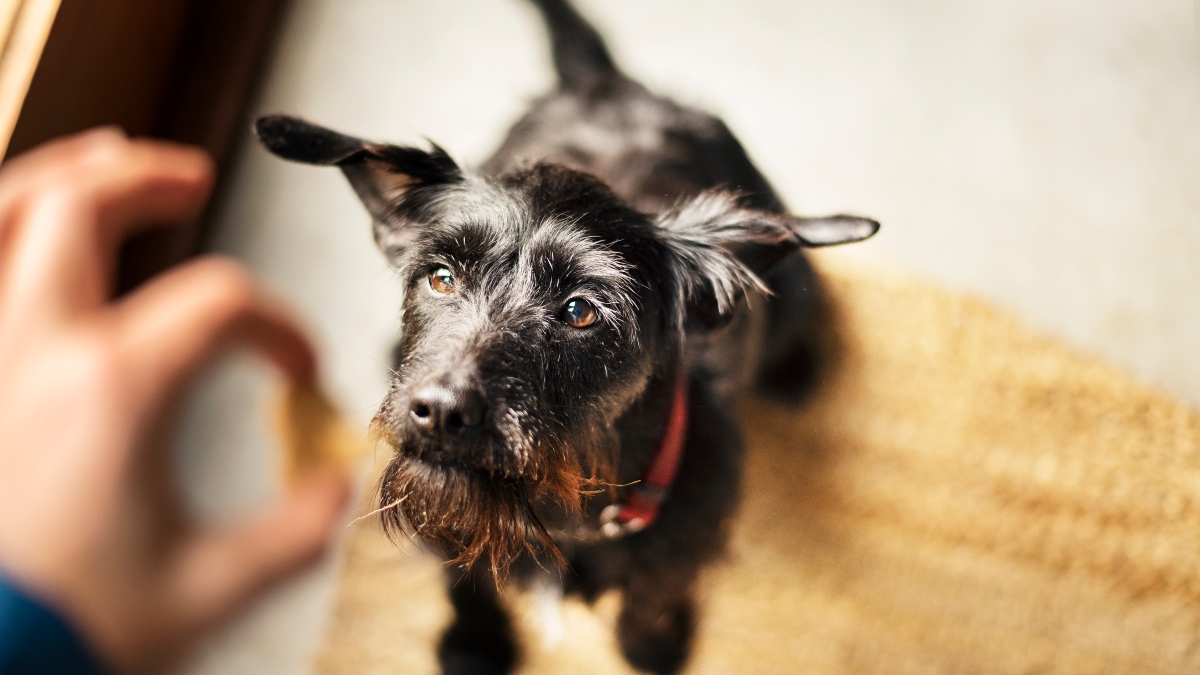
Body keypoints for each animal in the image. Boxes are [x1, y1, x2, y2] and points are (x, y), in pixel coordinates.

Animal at [255, 0, 873, 667]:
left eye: (580, 311)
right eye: (442, 277)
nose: (440, 410)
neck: (560, 507)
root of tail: (606, 84)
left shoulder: (684, 541)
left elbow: (654, 592)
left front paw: (652, 645)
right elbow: (464, 576)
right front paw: (473, 643)